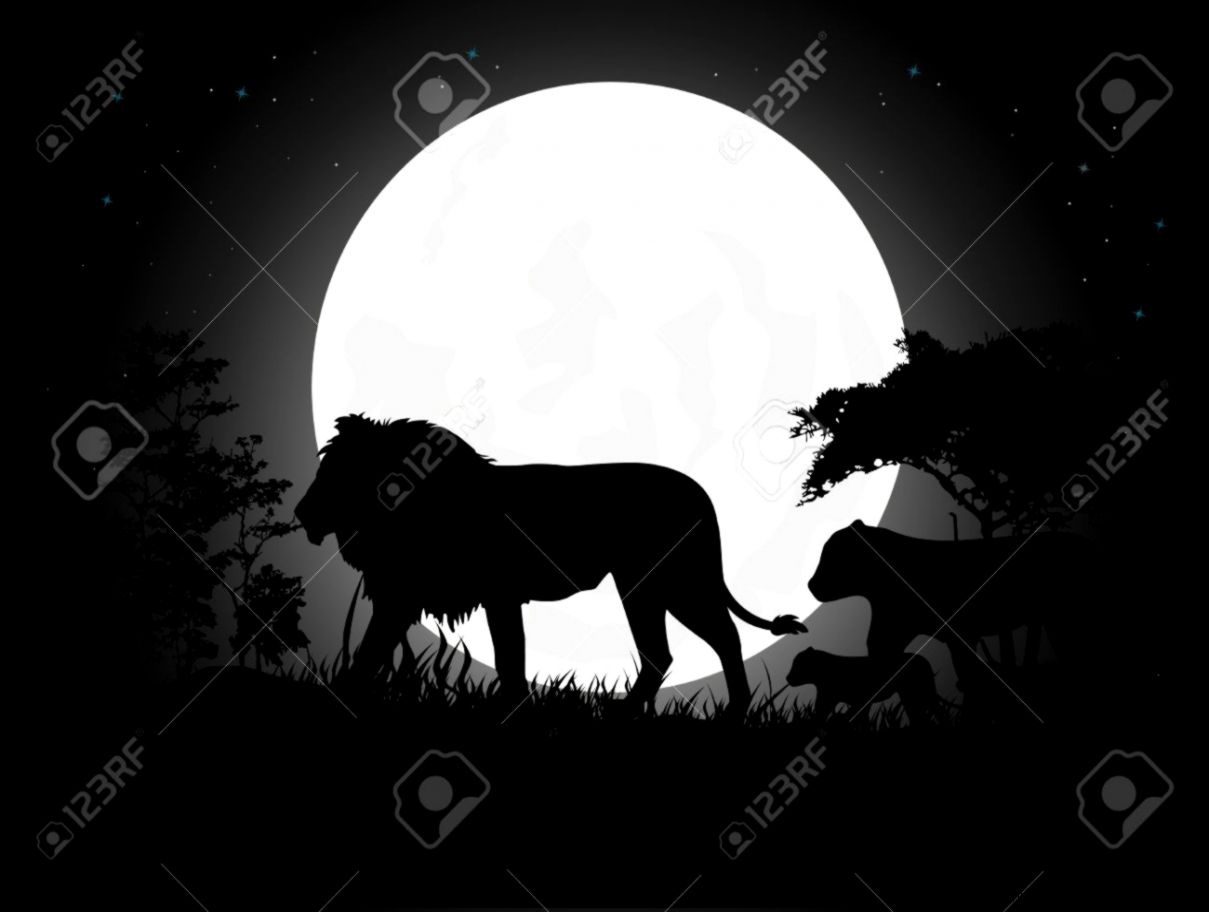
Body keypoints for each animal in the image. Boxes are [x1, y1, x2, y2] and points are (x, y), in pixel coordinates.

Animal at [295, 415, 806, 714]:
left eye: (340, 471)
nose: (302, 513)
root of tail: (701, 494)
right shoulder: (404, 596)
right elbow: (370, 650)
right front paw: (342, 697)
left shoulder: (495, 595)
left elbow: (508, 657)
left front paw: (510, 712)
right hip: (650, 587)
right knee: (667, 651)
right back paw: (630, 715)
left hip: (671, 582)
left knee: (718, 637)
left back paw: (731, 712)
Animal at [786, 646, 938, 720]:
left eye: (798, 664)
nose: (788, 678)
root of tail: (923, 660)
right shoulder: (827, 698)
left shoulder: (831, 698)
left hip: (916, 692)